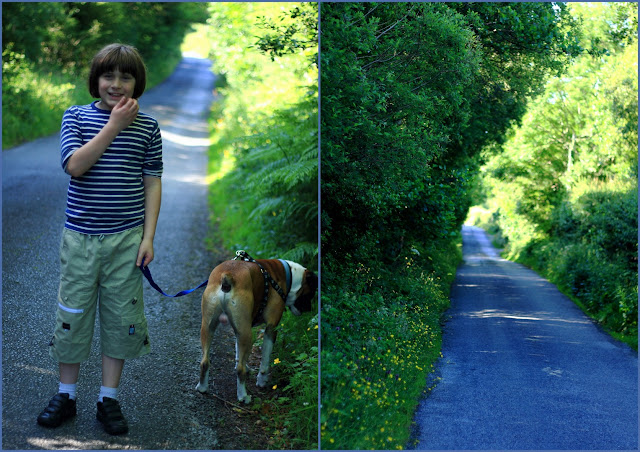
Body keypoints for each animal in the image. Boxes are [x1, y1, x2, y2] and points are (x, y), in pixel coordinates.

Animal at [194, 258, 316, 402]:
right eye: (312, 293)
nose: (309, 309)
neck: (288, 274)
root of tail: (228, 275)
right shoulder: (271, 329)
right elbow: (265, 361)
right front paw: (262, 380)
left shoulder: (239, 330)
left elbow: (238, 353)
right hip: (247, 334)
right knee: (239, 370)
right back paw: (243, 397)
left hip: (209, 328)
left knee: (204, 361)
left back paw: (202, 388)